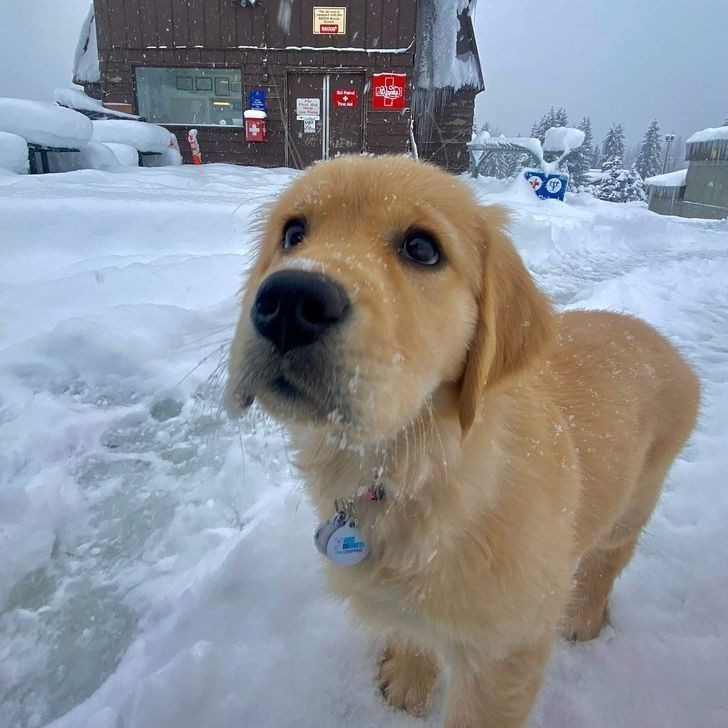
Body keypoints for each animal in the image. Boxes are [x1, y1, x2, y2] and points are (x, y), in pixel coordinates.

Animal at [223, 156, 700, 724]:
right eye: (293, 234)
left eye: (422, 248)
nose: (289, 301)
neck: (415, 468)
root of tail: (655, 337)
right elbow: (414, 629)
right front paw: (409, 681)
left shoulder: (506, 651)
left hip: (635, 498)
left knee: (609, 556)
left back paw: (584, 616)